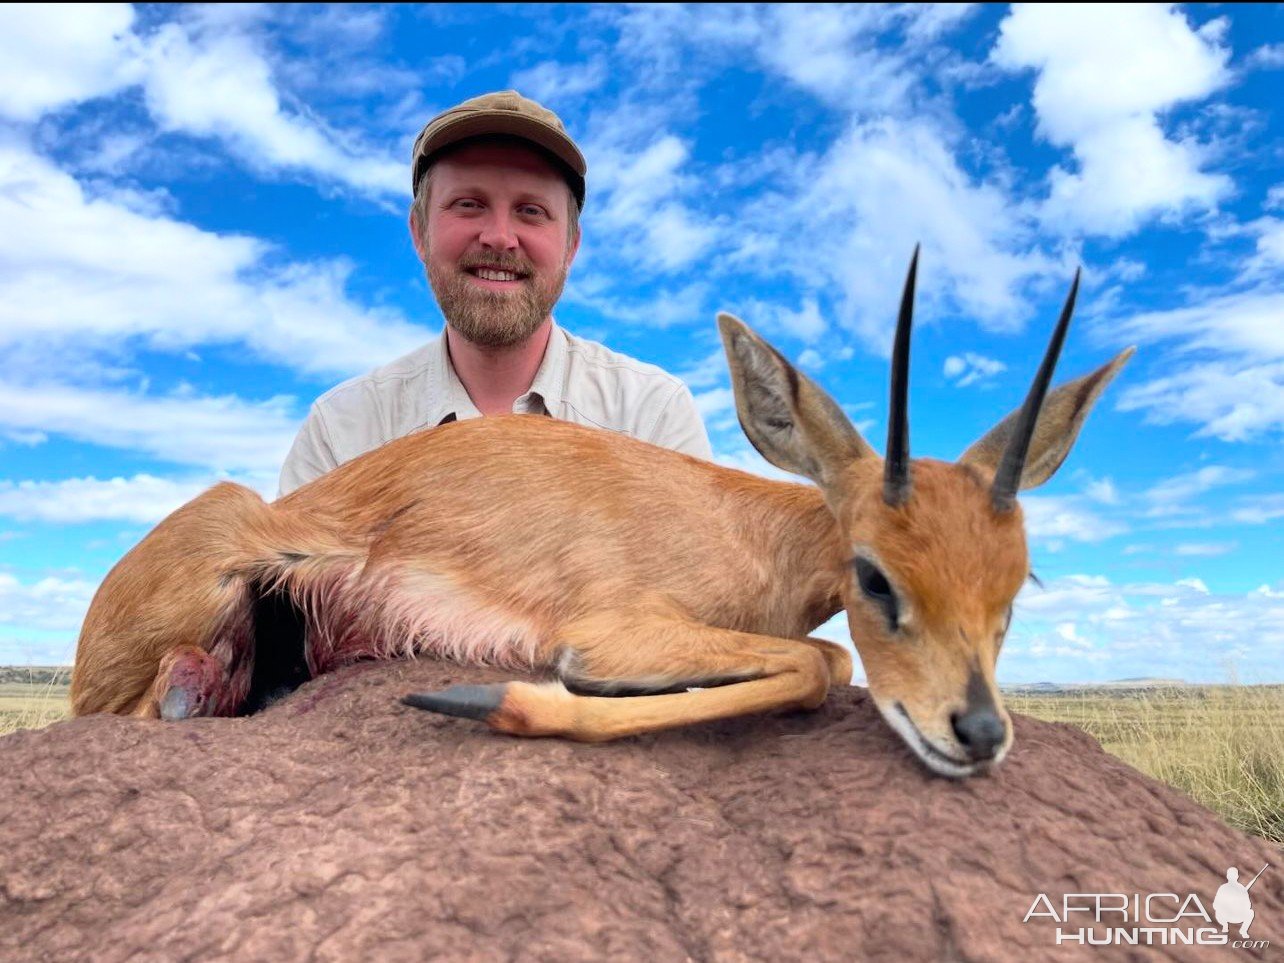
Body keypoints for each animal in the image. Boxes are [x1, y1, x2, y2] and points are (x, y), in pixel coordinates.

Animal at [72, 254, 1135, 775]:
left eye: (1016, 587)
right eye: (876, 575)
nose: (979, 731)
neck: (744, 527)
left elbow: (818, 663)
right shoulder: (620, 627)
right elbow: (819, 665)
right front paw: (494, 698)